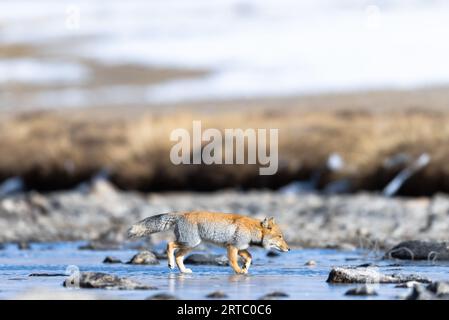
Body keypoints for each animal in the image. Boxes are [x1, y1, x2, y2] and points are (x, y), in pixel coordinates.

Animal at [128, 211, 288, 274]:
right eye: (280, 236)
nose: (289, 249)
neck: (252, 230)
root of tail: (182, 213)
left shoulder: (240, 248)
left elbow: (249, 257)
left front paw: (245, 268)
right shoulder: (232, 247)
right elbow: (233, 263)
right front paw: (239, 272)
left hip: (191, 246)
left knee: (178, 256)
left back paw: (183, 271)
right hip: (190, 243)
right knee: (169, 245)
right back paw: (170, 264)